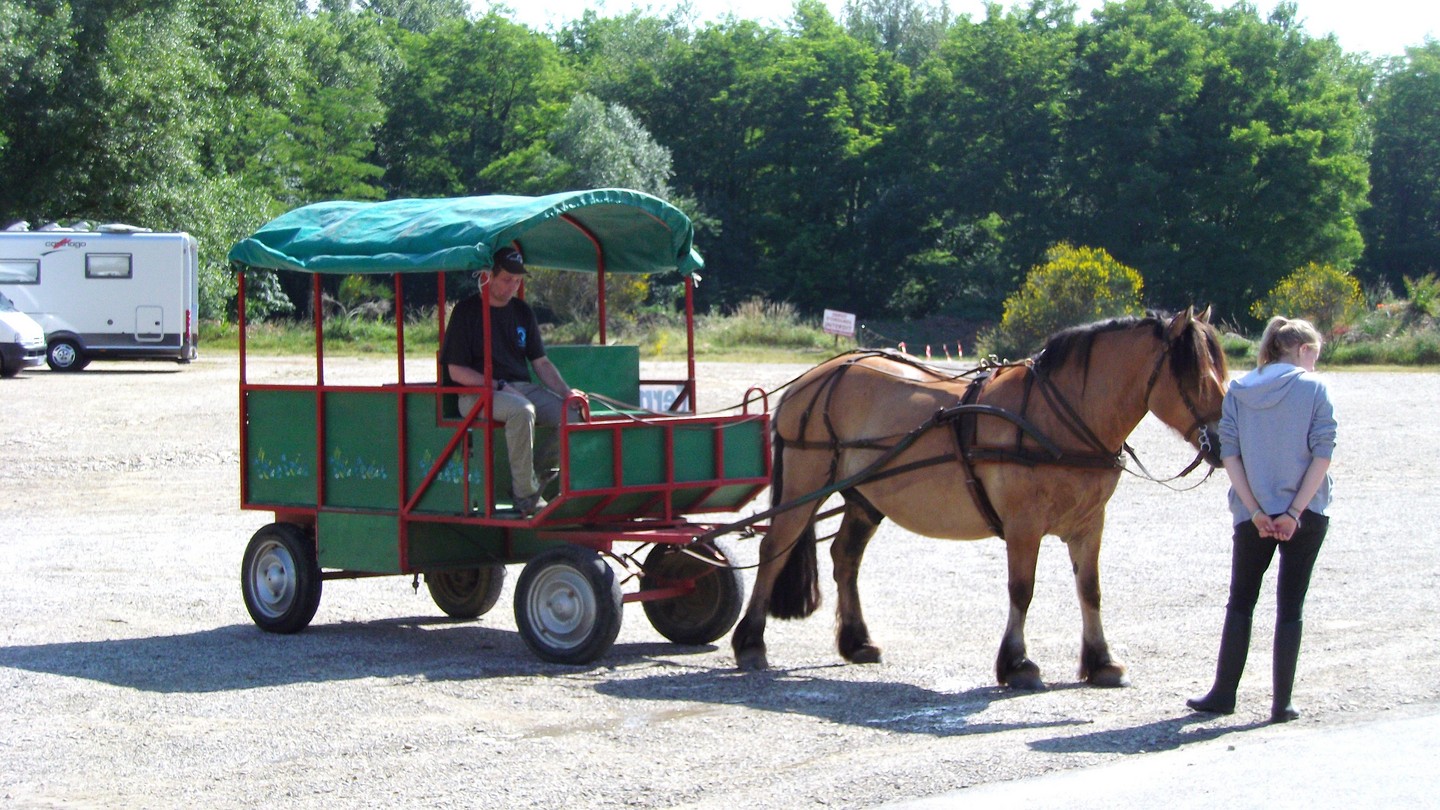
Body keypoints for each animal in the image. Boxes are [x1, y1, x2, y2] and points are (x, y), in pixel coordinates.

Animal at [737, 305, 1232, 683]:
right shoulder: (1023, 526)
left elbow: (1090, 590)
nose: (1225, 444)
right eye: (1196, 378)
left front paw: (1101, 661)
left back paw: (856, 641)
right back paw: (750, 641)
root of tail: (814, 377)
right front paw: (1016, 664)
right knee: (775, 548)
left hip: (864, 496)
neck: (1059, 418)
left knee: (845, 557)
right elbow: (1021, 590)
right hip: (806, 486)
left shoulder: (1089, 524)